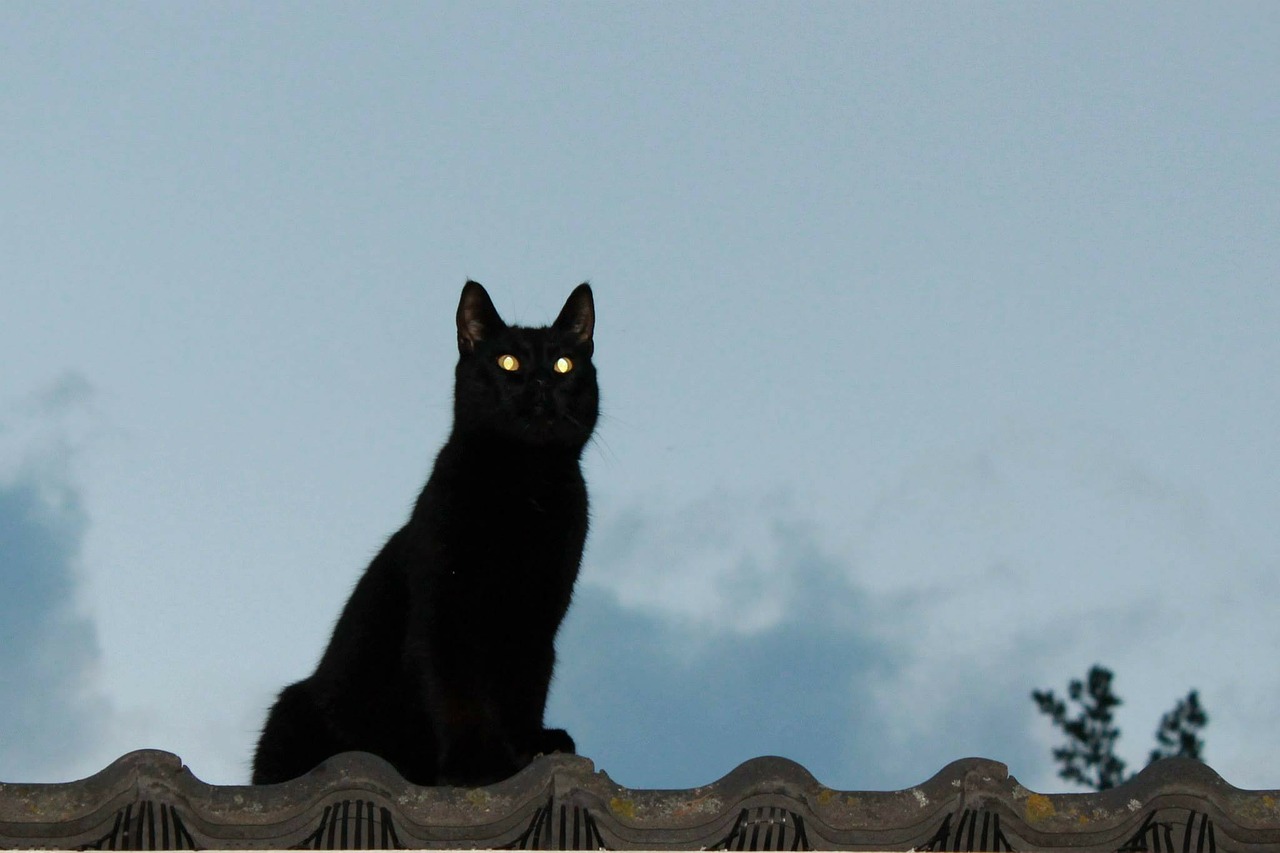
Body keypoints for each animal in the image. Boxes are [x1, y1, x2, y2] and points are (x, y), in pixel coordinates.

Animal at [252, 284, 596, 783]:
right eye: (507, 361)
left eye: (564, 364)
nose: (540, 383)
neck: (524, 485)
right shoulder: (443, 612)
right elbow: (458, 699)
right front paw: (475, 764)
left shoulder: (536, 618)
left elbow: (527, 688)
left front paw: (527, 745)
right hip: (294, 708)